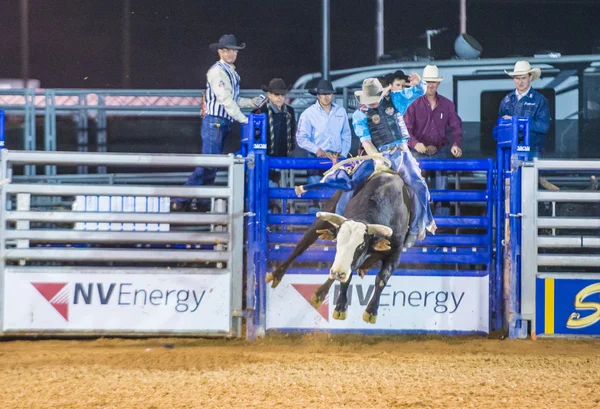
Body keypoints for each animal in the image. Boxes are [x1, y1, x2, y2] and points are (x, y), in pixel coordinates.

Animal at [268, 169, 412, 322]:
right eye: (337, 241)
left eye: (361, 246)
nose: (338, 273)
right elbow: (346, 279)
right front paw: (340, 307)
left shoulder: (395, 253)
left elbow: (381, 279)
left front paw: (371, 311)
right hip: (325, 216)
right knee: (302, 244)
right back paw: (277, 275)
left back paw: (320, 293)